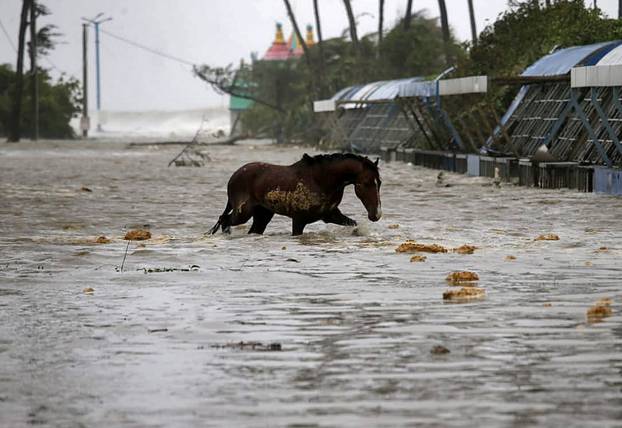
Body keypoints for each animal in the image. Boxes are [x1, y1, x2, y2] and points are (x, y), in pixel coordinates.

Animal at [210, 152, 382, 236]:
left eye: (379, 183)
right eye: (366, 183)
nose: (376, 215)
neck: (321, 180)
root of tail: (233, 177)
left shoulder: (331, 215)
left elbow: (353, 223)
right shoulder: (299, 220)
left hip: (263, 215)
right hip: (242, 213)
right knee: (224, 220)